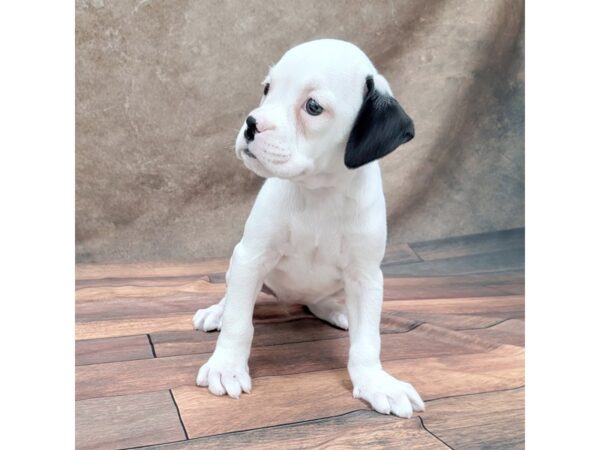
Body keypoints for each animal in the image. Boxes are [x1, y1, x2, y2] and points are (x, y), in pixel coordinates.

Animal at [192, 38, 422, 418]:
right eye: (267, 89)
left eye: (313, 107)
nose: (251, 123)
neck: (318, 192)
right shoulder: (251, 257)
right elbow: (240, 323)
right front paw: (226, 366)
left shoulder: (365, 276)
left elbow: (367, 343)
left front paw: (375, 382)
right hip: (240, 268)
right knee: (233, 296)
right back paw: (217, 312)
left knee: (320, 302)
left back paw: (335, 310)